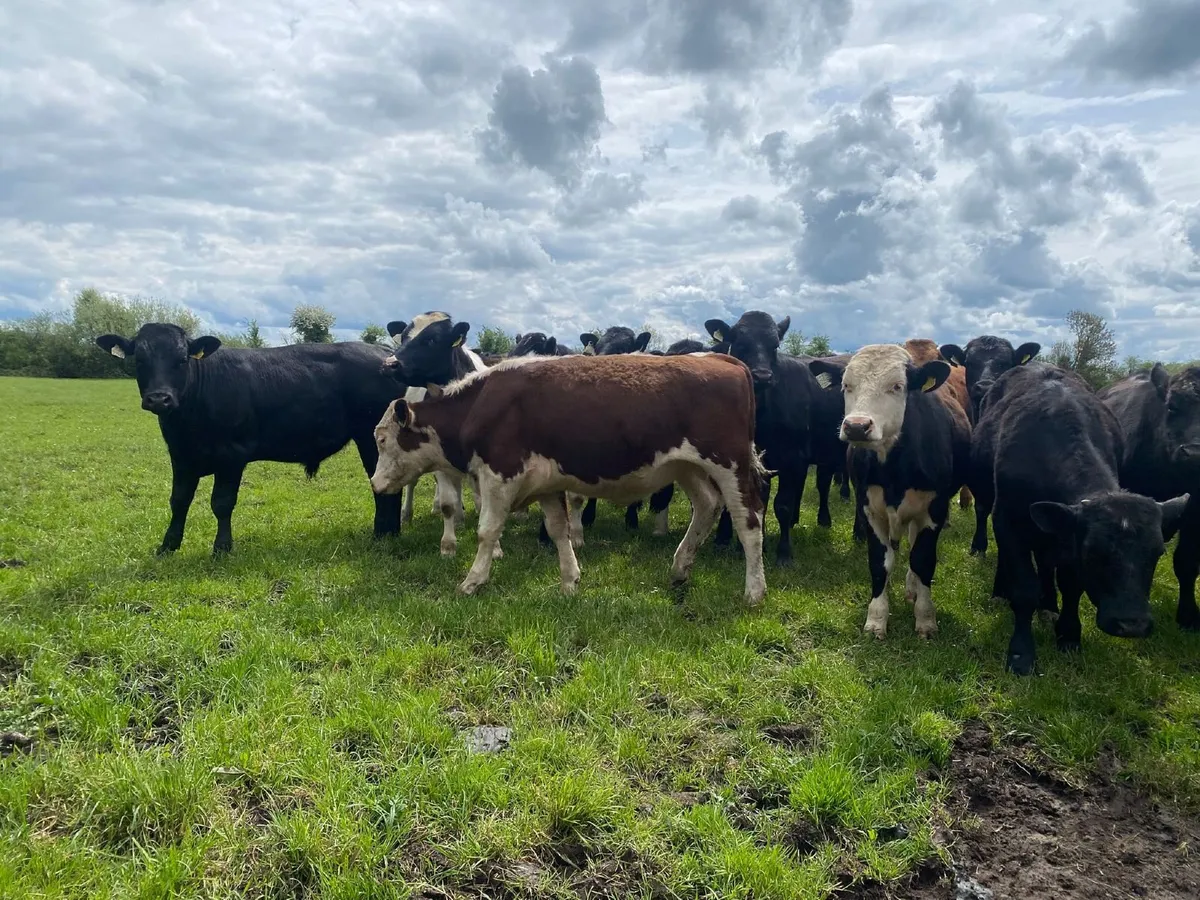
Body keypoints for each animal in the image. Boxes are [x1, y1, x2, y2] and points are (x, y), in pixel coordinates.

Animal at [95, 323, 403, 556]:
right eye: (139, 360)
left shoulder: (231, 456)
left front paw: (222, 548)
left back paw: (382, 535)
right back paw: (390, 533)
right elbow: (179, 500)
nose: (159, 398)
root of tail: (386, 353)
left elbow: (221, 503)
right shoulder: (181, 456)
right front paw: (168, 546)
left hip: (371, 438)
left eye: (181, 360)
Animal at [369, 353, 768, 604]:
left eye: (383, 439)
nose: (374, 483)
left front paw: (472, 581)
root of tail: (722, 360)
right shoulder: (545, 482)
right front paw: (569, 582)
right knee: (707, 506)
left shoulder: (500, 475)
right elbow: (559, 530)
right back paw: (680, 568)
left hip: (729, 465)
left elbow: (487, 532)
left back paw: (754, 591)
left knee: (749, 522)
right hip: (687, 467)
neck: (481, 405)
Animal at [705, 312, 816, 566]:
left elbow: (782, 505)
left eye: (774, 345)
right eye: (740, 343)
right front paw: (745, 545)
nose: (763, 376)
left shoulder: (793, 458)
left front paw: (784, 554)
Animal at [808, 345, 971, 639]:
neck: (894, 469)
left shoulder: (935, 510)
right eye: (846, 386)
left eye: (897, 386)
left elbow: (922, 560)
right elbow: (879, 563)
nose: (857, 426)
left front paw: (925, 618)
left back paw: (913, 589)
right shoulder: (870, 510)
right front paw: (876, 619)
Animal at [974, 362, 1188, 675]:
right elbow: (1024, 589)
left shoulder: (1067, 536)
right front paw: (1021, 652)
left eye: (1157, 553)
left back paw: (1049, 604)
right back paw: (1002, 591)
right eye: (1094, 553)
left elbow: (1071, 586)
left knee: (1046, 563)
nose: (1132, 624)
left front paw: (1069, 634)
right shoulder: (1008, 520)